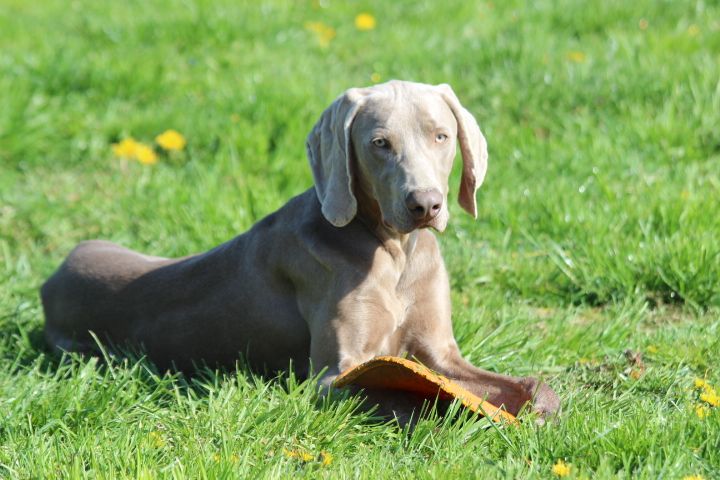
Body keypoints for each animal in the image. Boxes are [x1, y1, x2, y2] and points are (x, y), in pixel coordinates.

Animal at [39, 80, 560, 418]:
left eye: (441, 136)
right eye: (380, 143)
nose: (426, 205)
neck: (393, 251)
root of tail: (53, 278)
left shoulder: (442, 355)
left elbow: (534, 389)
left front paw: (535, 407)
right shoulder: (332, 375)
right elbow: (398, 392)